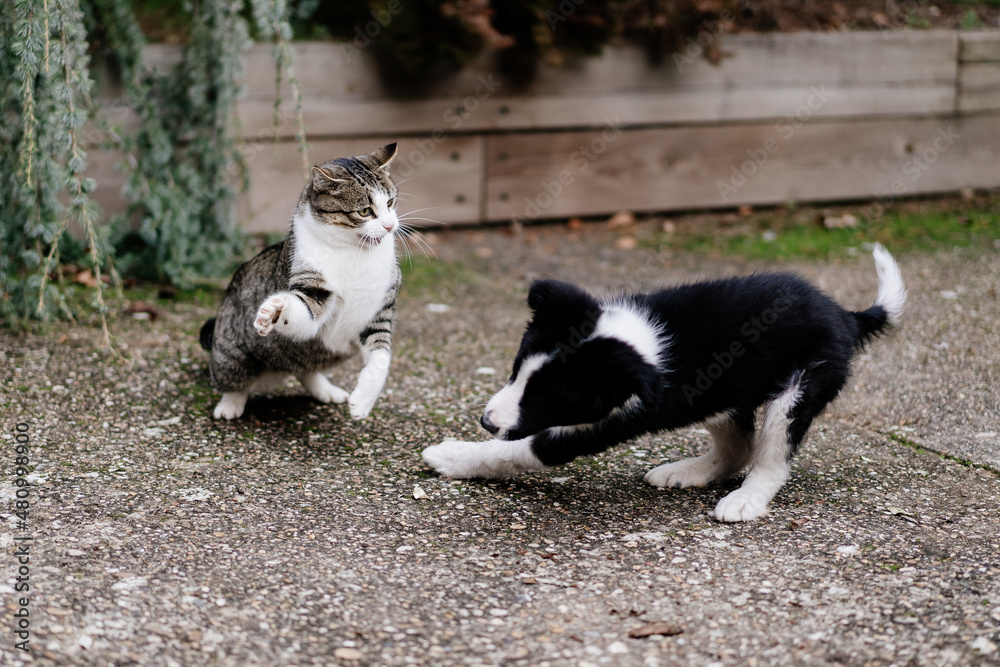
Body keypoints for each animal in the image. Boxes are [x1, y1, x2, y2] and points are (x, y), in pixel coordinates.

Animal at [199, 144, 402, 420]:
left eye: (390, 202)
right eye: (365, 211)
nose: (390, 226)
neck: (354, 252)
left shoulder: (379, 310)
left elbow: (381, 357)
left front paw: (363, 402)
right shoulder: (313, 288)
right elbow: (302, 310)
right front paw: (276, 310)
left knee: (305, 370)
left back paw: (326, 391)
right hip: (231, 356)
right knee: (234, 381)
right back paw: (229, 405)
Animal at [422, 245, 908, 520]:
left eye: (547, 397)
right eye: (516, 369)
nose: (486, 422)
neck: (635, 343)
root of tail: (846, 315)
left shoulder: (608, 419)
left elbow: (518, 450)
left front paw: (454, 456)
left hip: (798, 388)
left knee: (771, 455)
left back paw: (746, 501)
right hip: (721, 393)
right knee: (737, 446)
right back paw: (686, 472)